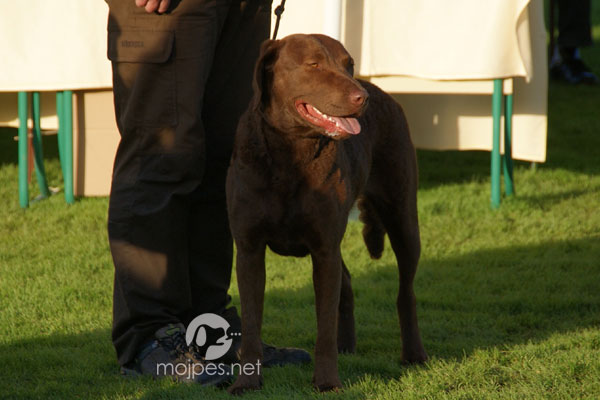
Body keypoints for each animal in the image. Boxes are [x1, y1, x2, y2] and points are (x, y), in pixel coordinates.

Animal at [225, 33, 426, 394]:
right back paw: (348, 345)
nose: (360, 98)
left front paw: (328, 381)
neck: (290, 156)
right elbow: (250, 325)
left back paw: (414, 353)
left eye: (348, 64)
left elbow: (324, 328)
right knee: (346, 281)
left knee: (406, 291)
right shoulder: (249, 249)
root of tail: (380, 90)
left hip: (402, 215)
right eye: (314, 65)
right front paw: (246, 381)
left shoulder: (323, 248)